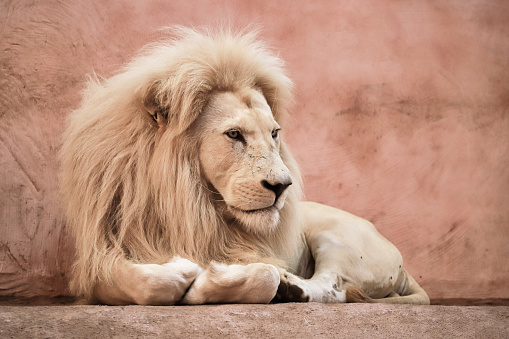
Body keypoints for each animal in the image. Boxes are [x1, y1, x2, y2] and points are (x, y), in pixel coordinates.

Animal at [61, 26, 430, 306]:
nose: (282, 187)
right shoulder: (98, 259)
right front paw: (178, 270)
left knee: (332, 286)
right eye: (234, 134)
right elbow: (148, 284)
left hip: (336, 237)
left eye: (275, 133)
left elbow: (264, 275)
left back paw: (291, 287)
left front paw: (203, 282)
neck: (189, 202)